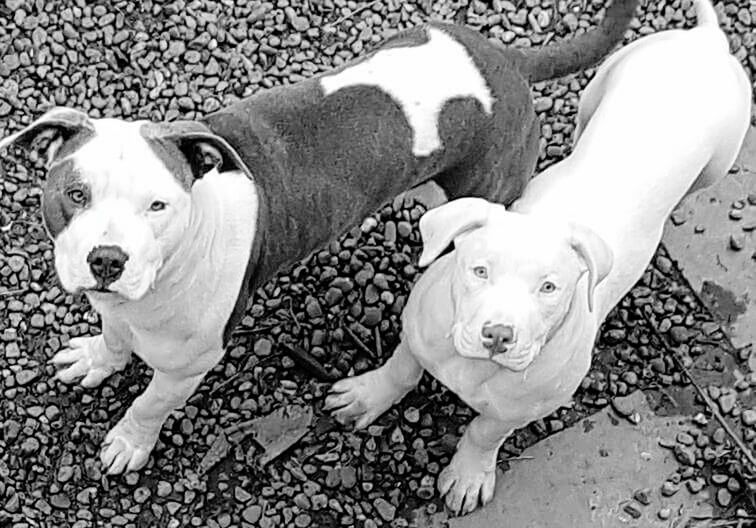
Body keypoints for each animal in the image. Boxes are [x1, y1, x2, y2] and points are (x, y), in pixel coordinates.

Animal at [0, 0, 636, 474]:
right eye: (75, 193)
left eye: (159, 205)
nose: (107, 259)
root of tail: (505, 59)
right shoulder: (115, 305)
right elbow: (112, 338)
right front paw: (98, 358)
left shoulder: (189, 363)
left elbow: (151, 400)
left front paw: (131, 441)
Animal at [328, 0, 752, 516]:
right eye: (479, 270)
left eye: (549, 288)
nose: (497, 335)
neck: (475, 367)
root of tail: (707, 42)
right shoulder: (418, 329)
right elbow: (401, 368)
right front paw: (366, 397)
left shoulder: (524, 407)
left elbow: (484, 431)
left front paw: (468, 476)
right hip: (600, 87)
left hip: (718, 159)